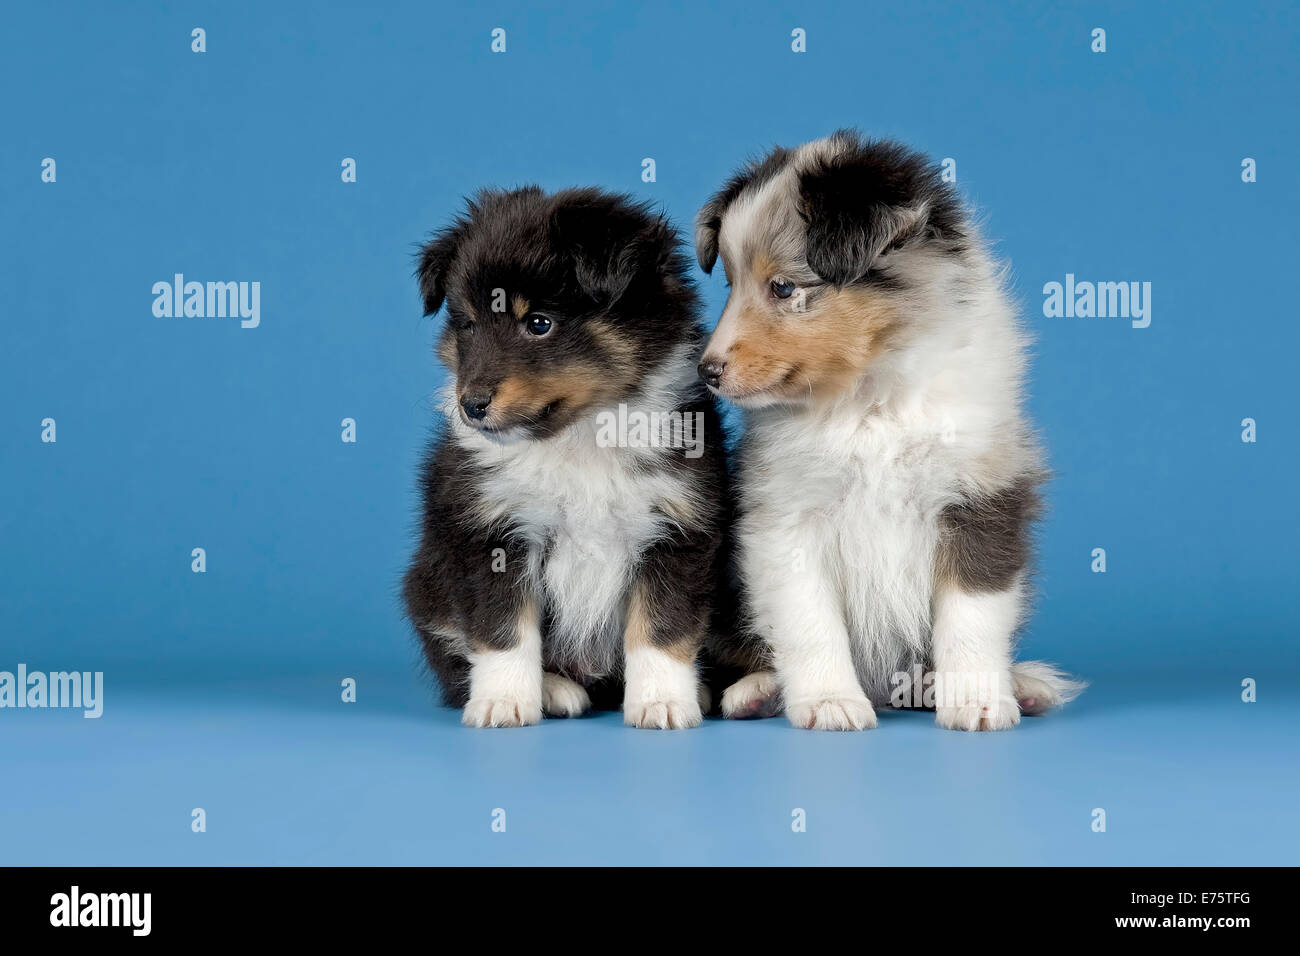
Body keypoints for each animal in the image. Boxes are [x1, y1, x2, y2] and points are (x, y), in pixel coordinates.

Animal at [403, 183, 733, 728]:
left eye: (539, 323)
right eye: (468, 325)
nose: (471, 405)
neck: (580, 437)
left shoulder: (676, 527)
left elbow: (662, 627)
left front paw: (662, 702)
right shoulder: (491, 529)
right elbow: (502, 629)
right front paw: (503, 701)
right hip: (426, 589)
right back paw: (555, 689)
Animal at [696, 132, 1081, 733]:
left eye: (782, 287)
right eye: (732, 285)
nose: (707, 371)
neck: (870, 398)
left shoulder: (979, 500)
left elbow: (972, 616)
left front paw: (978, 699)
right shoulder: (786, 515)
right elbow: (809, 619)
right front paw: (829, 701)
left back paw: (1023, 683)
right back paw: (758, 691)